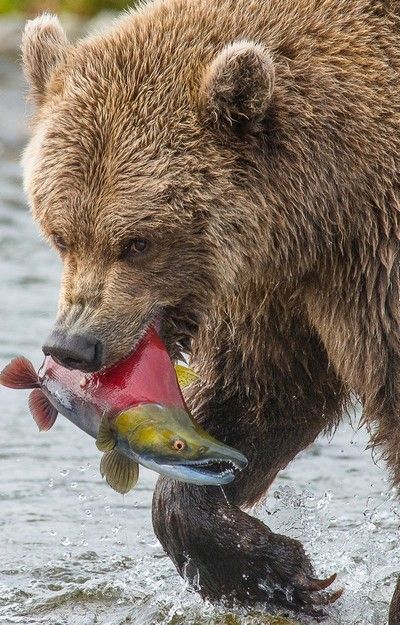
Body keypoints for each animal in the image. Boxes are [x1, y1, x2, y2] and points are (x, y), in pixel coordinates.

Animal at [21, 1, 400, 620]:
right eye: (61, 234)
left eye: (137, 242)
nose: (73, 345)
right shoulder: (279, 294)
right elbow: (257, 398)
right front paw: (275, 572)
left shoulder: (375, 267)